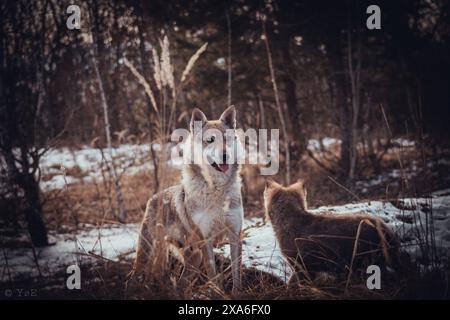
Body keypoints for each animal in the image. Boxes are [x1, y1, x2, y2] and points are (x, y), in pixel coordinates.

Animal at [130, 106, 243, 294]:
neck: (216, 190)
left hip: (193, 258)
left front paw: (235, 294)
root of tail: (153, 198)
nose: (225, 155)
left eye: (226, 139)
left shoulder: (234, 234)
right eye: (210, 140)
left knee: (179, 283)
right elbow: (213, 274)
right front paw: (219, 293)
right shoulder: (206, 240)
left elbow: (236, 272)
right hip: (148, 252)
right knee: (135, 276)